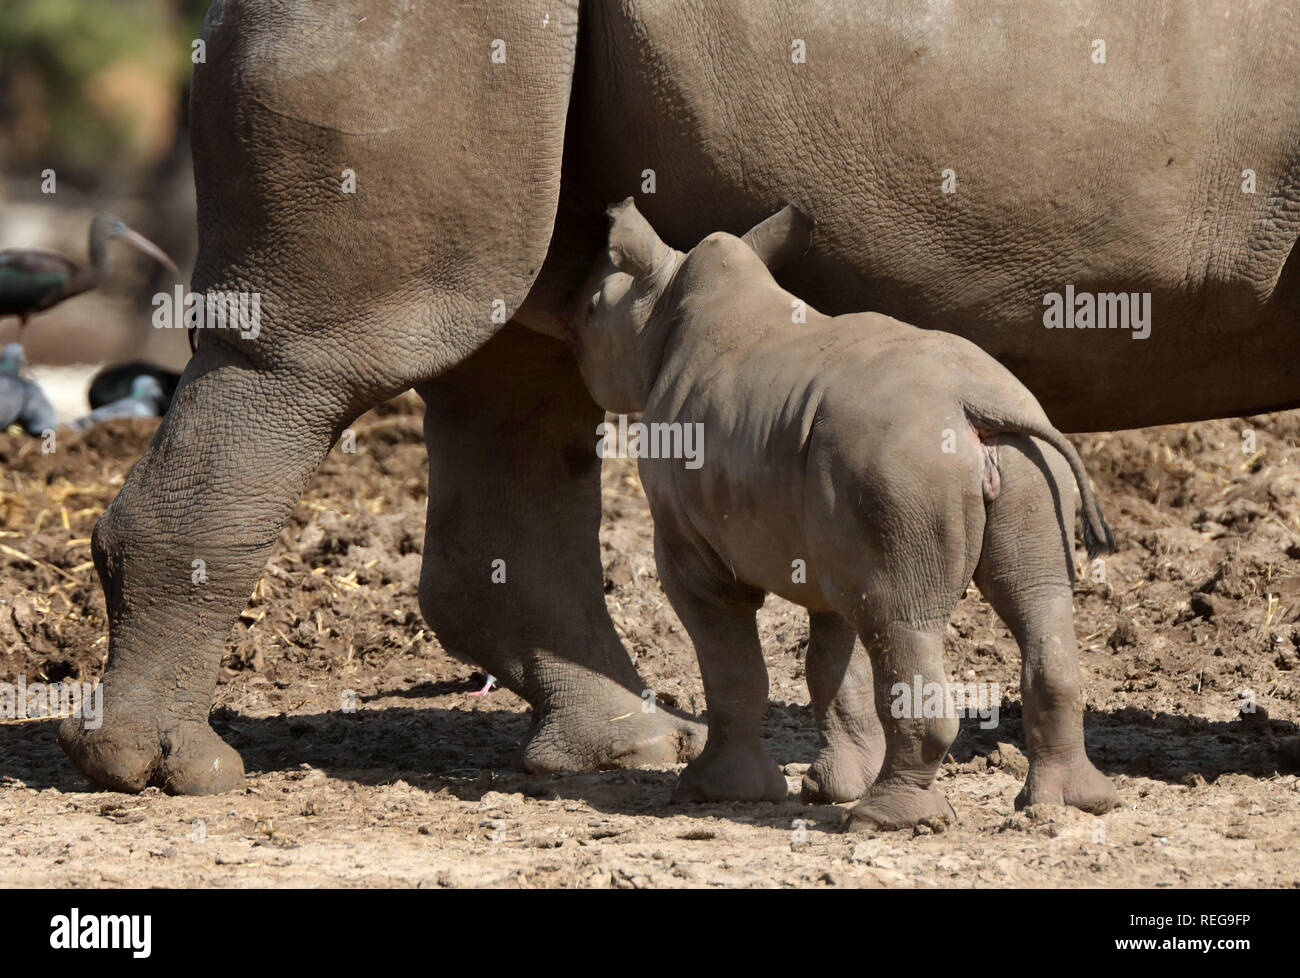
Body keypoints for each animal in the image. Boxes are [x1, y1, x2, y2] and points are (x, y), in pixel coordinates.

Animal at [574, 200, 1123, 832]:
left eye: (590, 310)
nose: (572, 339)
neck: (662, 306)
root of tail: (971, 404)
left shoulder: (693, 547)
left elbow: (734, 665)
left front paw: (715, 792)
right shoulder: (829, 536)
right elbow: (836, 664)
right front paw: (833, 787)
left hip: (899, 459)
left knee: (900, 616)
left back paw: (885, 820)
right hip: (1013, 456)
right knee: (1032, 600)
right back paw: (1073, 804)